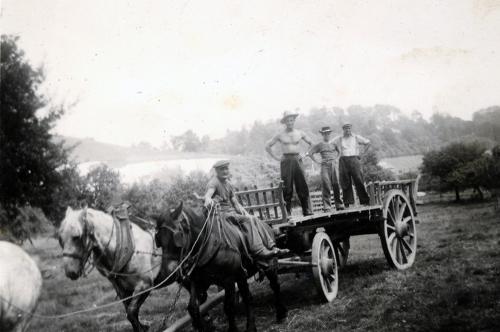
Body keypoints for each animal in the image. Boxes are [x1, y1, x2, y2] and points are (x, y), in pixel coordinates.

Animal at [156, 202, 288, 332]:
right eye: (159, 240)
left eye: (178, 236)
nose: (171, 273)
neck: (207, 244)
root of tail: (267, 225)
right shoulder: (197, 282)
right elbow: (193, 308)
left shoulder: (228, 280)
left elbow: (228, 307)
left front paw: (235, 328)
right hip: (241, 276)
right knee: (247, 296)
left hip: (269, 265)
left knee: (275, 286)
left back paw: (281, 313)